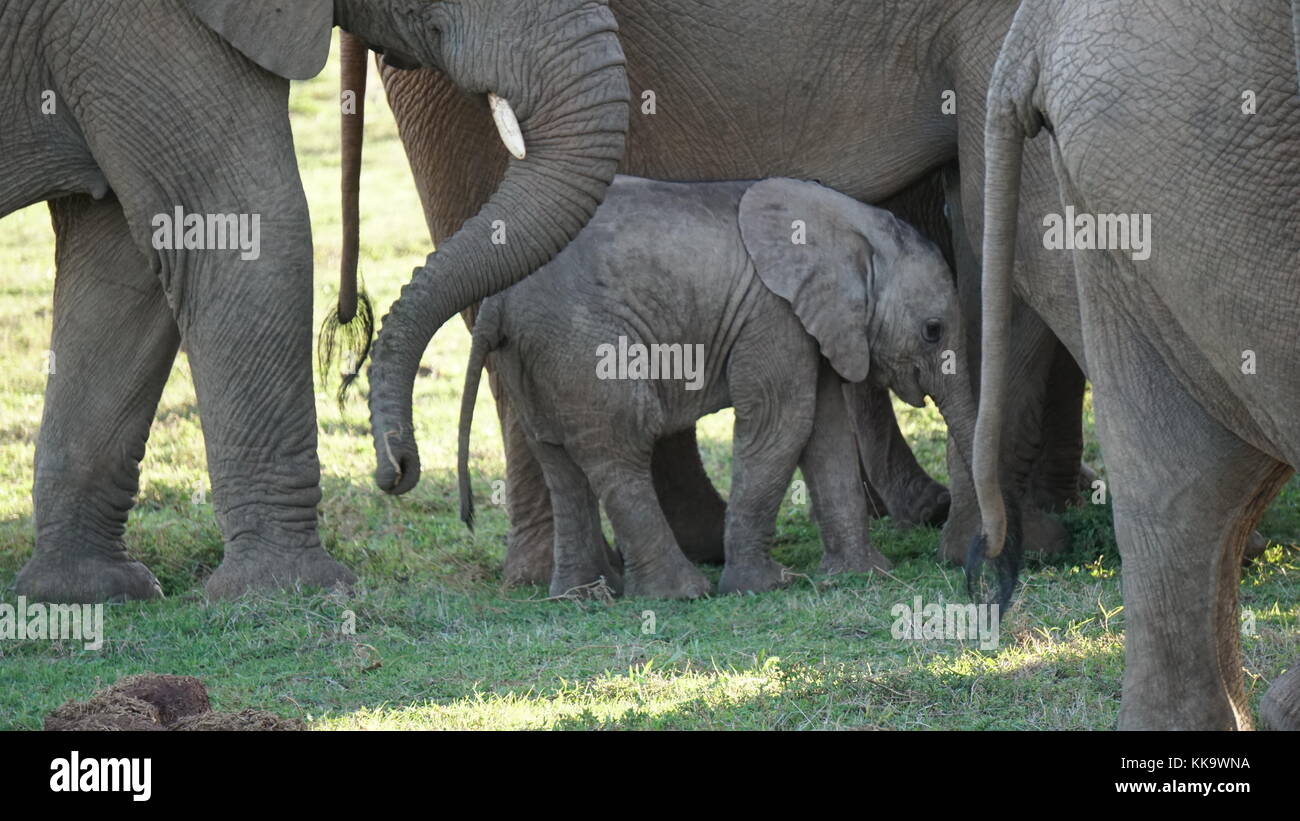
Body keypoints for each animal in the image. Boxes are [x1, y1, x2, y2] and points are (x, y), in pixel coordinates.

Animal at [3, 0, 629, 602]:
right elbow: (249, 225)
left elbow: (127, 267)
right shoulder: (127, 23)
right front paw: (293, 589)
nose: (396, 469)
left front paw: (89, 593)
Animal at [457, 176, 975, 598]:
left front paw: (862, 574)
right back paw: (682, 593)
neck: (849, 224)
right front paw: (763, 586)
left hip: (535, 354)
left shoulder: (815, 323)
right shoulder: (772, 315)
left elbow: (824, 432)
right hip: (583, 341)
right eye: (932, 331)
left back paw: (581, 596)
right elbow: (782, 424)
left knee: (557, 457)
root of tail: (498, 300)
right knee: (621, 444)